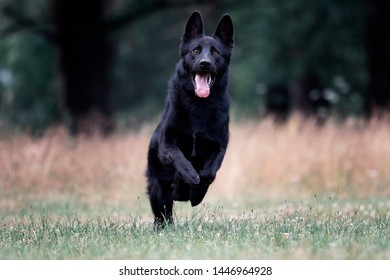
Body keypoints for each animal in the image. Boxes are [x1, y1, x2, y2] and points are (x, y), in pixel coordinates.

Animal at [145, 10, 232, 228]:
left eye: (216, 53)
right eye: (195, 50)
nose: (204, 63)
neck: (198, 106)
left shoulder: (219, 146)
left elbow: (209, 173)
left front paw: (197, 192)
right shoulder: (166, 143)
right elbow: (179, 156)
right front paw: (190, 175)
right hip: (158, 189)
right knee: (162, 213)